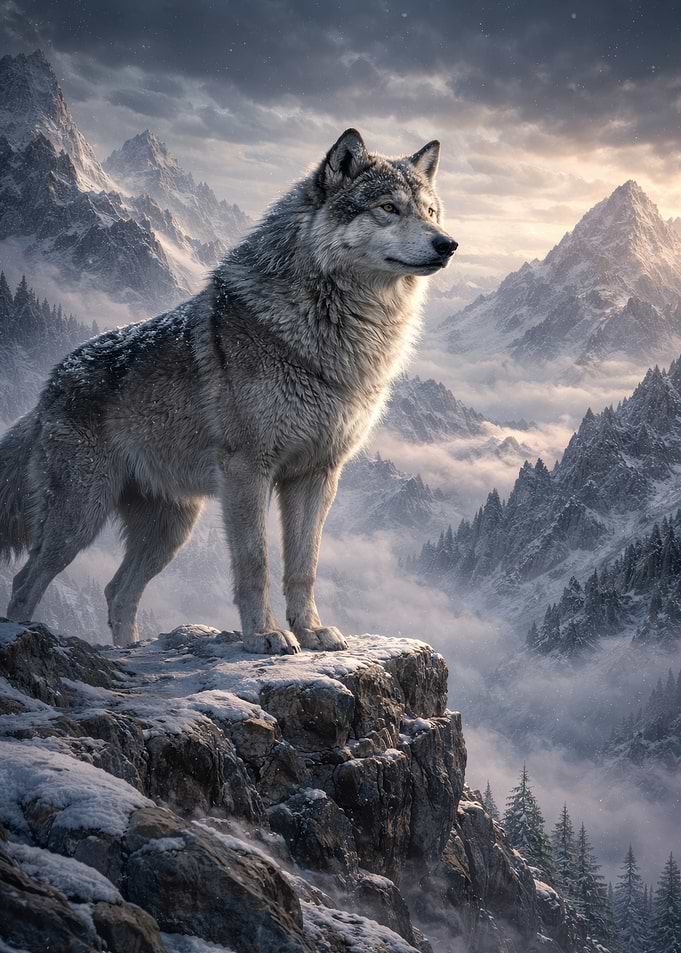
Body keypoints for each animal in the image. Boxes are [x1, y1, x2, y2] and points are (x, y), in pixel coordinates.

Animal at [0, 129, 457, 653]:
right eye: (388, 208)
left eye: (431, 212)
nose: (449, 244)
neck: (335, 330)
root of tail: (49, 385)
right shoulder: (248, 470)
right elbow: (255, 563)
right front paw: (266, 635)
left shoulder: (317, 475)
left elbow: (304, 566)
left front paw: (311, 630)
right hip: (81, 517)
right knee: (27, 579)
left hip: (170, 529)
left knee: (117, 590)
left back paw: (129, 649)